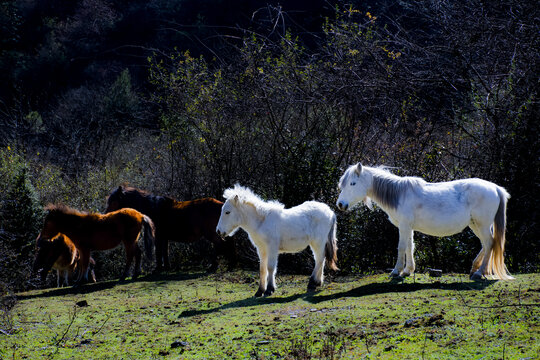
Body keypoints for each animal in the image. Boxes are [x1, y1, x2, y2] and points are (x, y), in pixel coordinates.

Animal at [104, 187, 235, 272]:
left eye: (114, 201)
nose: (105, 215)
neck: (153, 208)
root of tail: (220, 206)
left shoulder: (158, 236)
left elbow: (158, 252)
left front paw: (157, 269)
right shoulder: (164, 238)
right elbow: (164, 252)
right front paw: (166, 267)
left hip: (210, 233)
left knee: (220, 245)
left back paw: (215, 266)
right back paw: (228, 265)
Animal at [336, 164, 512, 282]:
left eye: (352, 183)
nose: (340, 204)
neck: (399, 195)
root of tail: (496, 188)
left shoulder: (404, 226)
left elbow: (401, 247)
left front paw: (396, 271)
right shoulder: (407, 227)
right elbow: (409, 246)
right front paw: (408, 271)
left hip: (482, 225)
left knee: (489, 243)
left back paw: (478, 272)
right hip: (476, 225)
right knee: (486, 244)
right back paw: (476, 268)